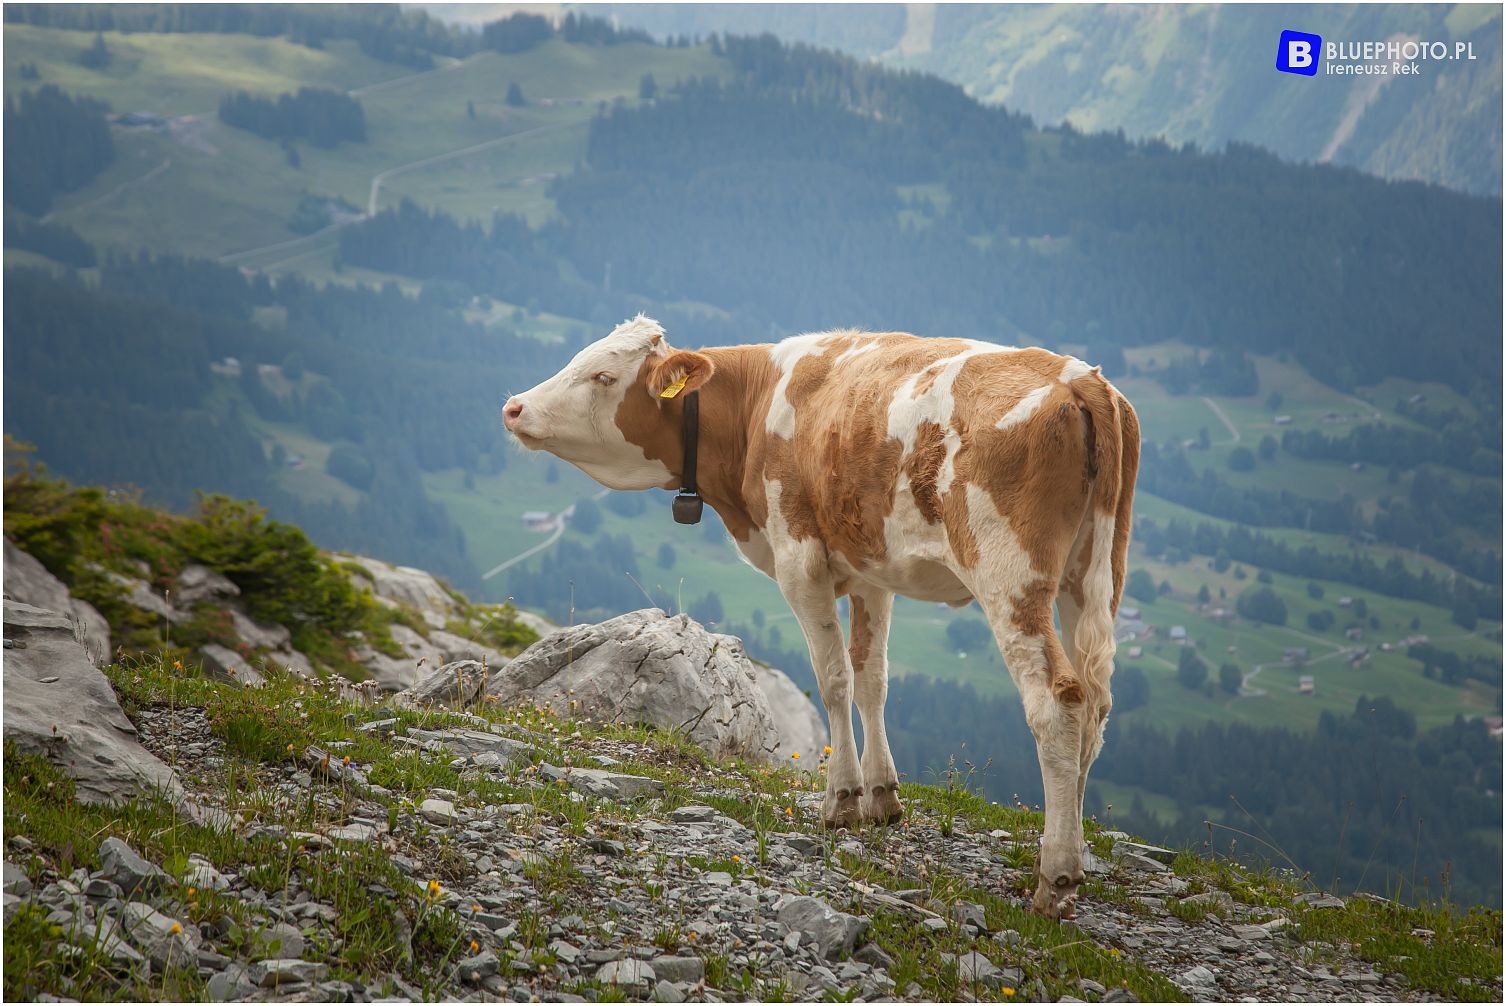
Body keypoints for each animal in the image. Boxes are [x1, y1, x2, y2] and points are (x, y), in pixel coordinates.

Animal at [502, 316, 1139, 919]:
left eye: (603, 376)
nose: (514, 407)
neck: (756, 406)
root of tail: (1079, 378)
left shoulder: (799, 560)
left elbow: (833, 679)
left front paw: (842, 802)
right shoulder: (872, 570)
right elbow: (871, 679)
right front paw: (883, 796)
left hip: (1009, 574)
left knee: (1057, 702)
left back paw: (1055, 877)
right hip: (1095, 574)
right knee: (1096, 704)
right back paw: (1073, 856)